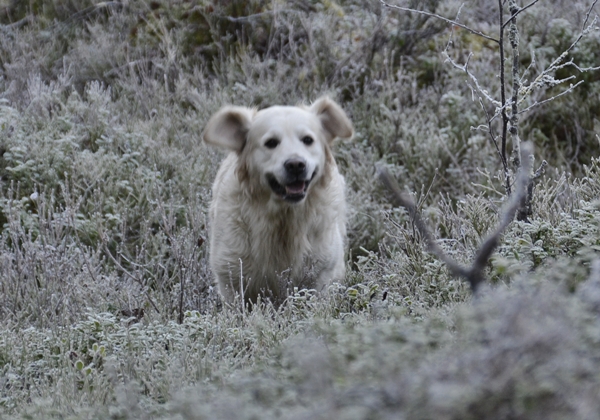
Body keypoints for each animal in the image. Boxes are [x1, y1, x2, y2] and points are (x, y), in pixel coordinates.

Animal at [203, 97, 352, 304]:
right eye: (271, 142)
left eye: (308, 140)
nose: (296, 165)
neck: (284, 218)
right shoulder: (230, 277)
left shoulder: (321, 274)